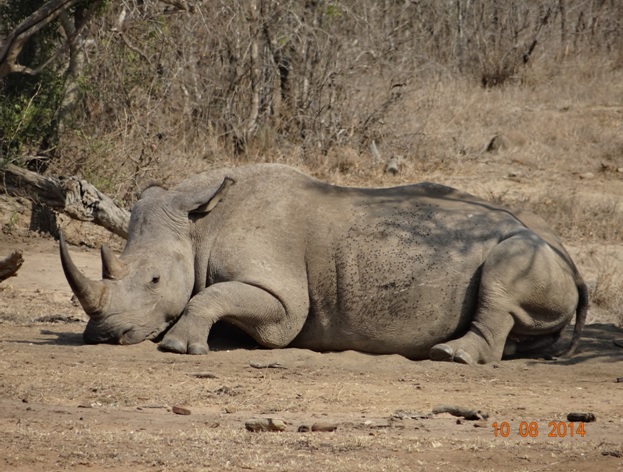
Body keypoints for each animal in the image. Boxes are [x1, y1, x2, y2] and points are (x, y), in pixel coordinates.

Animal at [59, 163, 588, 366]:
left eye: (153, 279)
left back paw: (449, 355)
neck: (197, 225)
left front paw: (178, 347)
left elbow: (214, 296)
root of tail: (572, 260)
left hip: (528, 249)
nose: (103, 335)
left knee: (502, 277)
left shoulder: (282, 299)